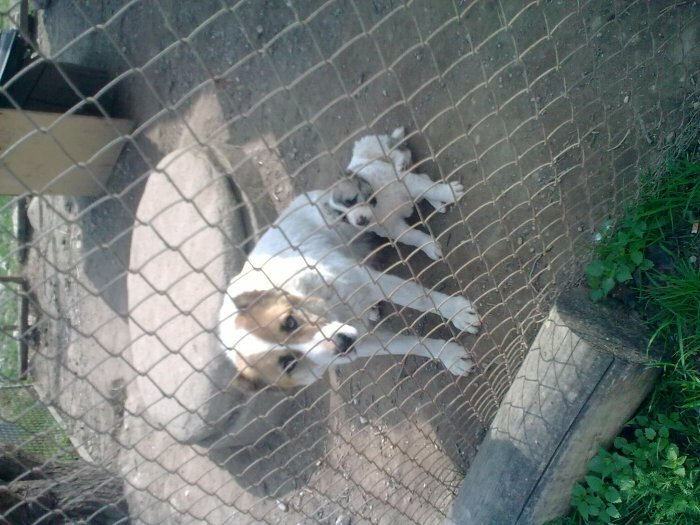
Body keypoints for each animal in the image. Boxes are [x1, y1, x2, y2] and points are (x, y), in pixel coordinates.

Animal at [219, 180, 482, 388]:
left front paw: (457, 312)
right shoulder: (362, 345)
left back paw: (441, 195)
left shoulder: (368, 280)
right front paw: (448, 356)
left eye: (290, 322)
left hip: (359, 221)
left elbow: (422, 299)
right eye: (289, 364)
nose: (342, 343)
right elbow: (410, 344)